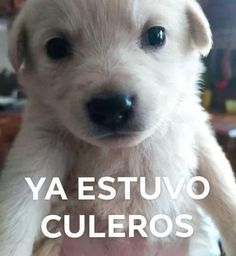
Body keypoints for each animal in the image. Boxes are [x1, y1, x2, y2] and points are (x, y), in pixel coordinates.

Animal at [0, 0, 236, 255]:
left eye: (157, 35)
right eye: (55, 47)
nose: (111, 107)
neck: (120, 151)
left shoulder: (194, 131)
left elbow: (222, 183)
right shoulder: (41, 141)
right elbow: (18, 205)